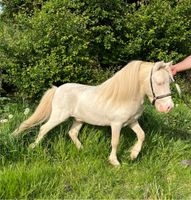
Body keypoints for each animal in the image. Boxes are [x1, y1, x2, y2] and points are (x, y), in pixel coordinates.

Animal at [12, 60, 175, 166]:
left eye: (170, 82)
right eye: (159, 82)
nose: (168, 107)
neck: (126, 96)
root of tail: (57, 89)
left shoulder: (132, 122)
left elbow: (141, 135)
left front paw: (133, 155)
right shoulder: (116, 124)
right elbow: (115, 141)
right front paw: (115, 162)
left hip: (78, 119)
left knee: (72, 133)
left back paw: (81, 149)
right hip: (59, 116)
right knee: (44, 128)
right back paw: (32, 147)